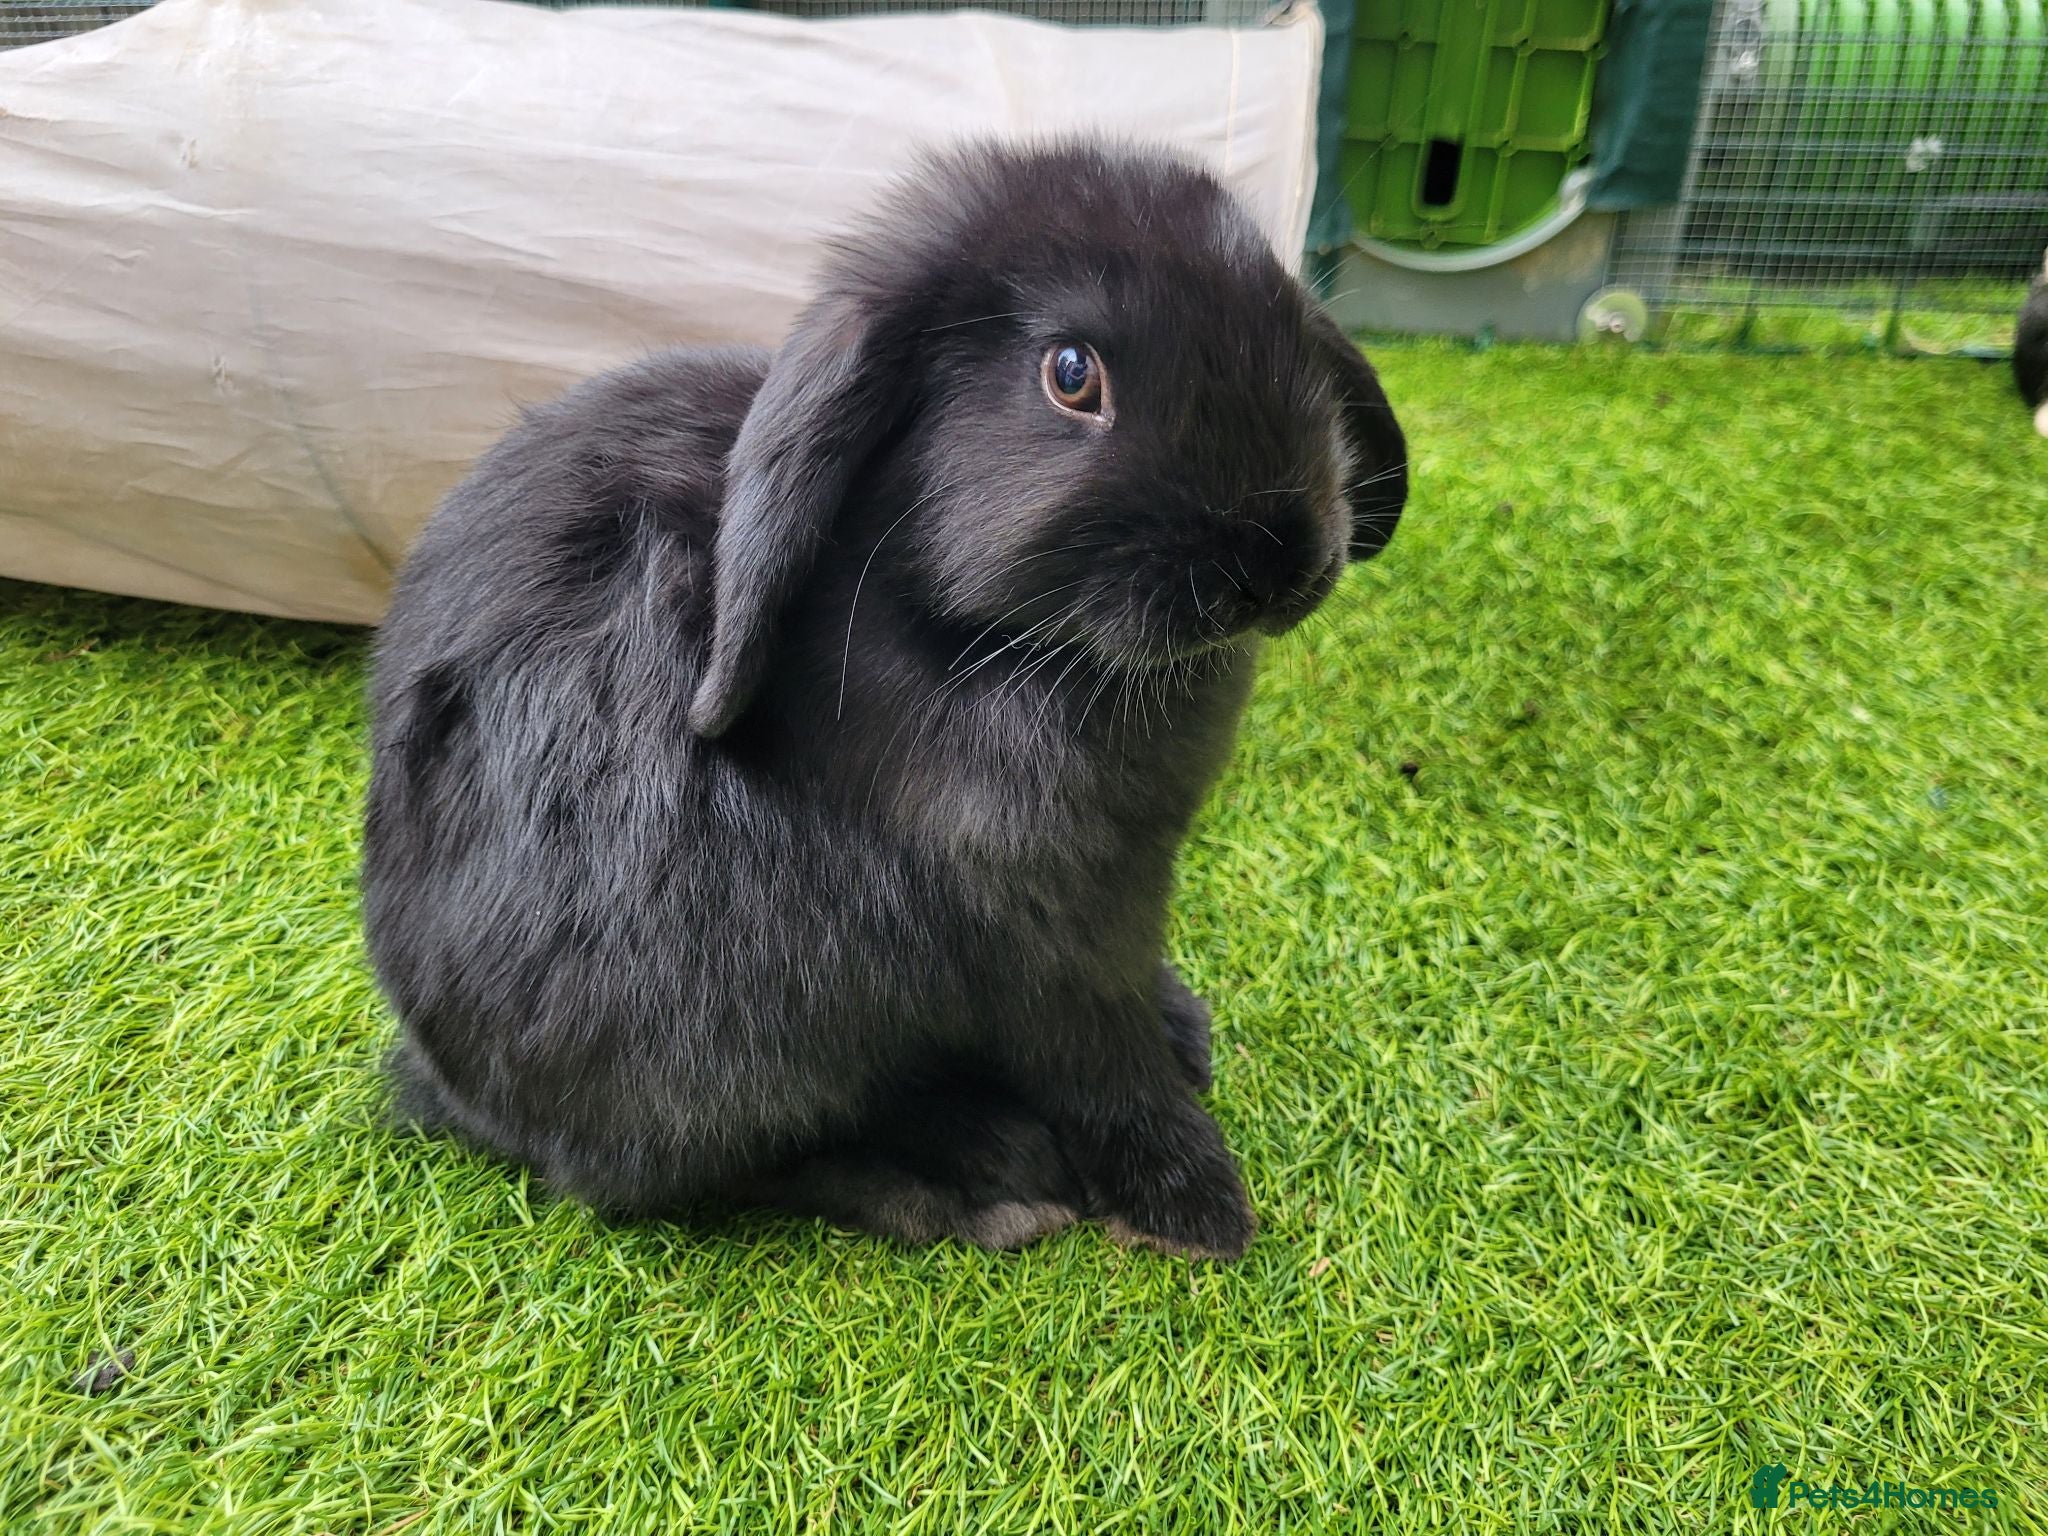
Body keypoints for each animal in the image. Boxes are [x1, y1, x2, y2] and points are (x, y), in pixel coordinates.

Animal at [362, 140, 1408, 1261]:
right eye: (1070, 374)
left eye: (1283, 321)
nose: (1276, 563)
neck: (982, 641)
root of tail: (447, 1086)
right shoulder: (1043, 933)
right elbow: (1103, 1070)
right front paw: (1199, 1210)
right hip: (725, 1053)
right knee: (729, 1170)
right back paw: (981, 1180)